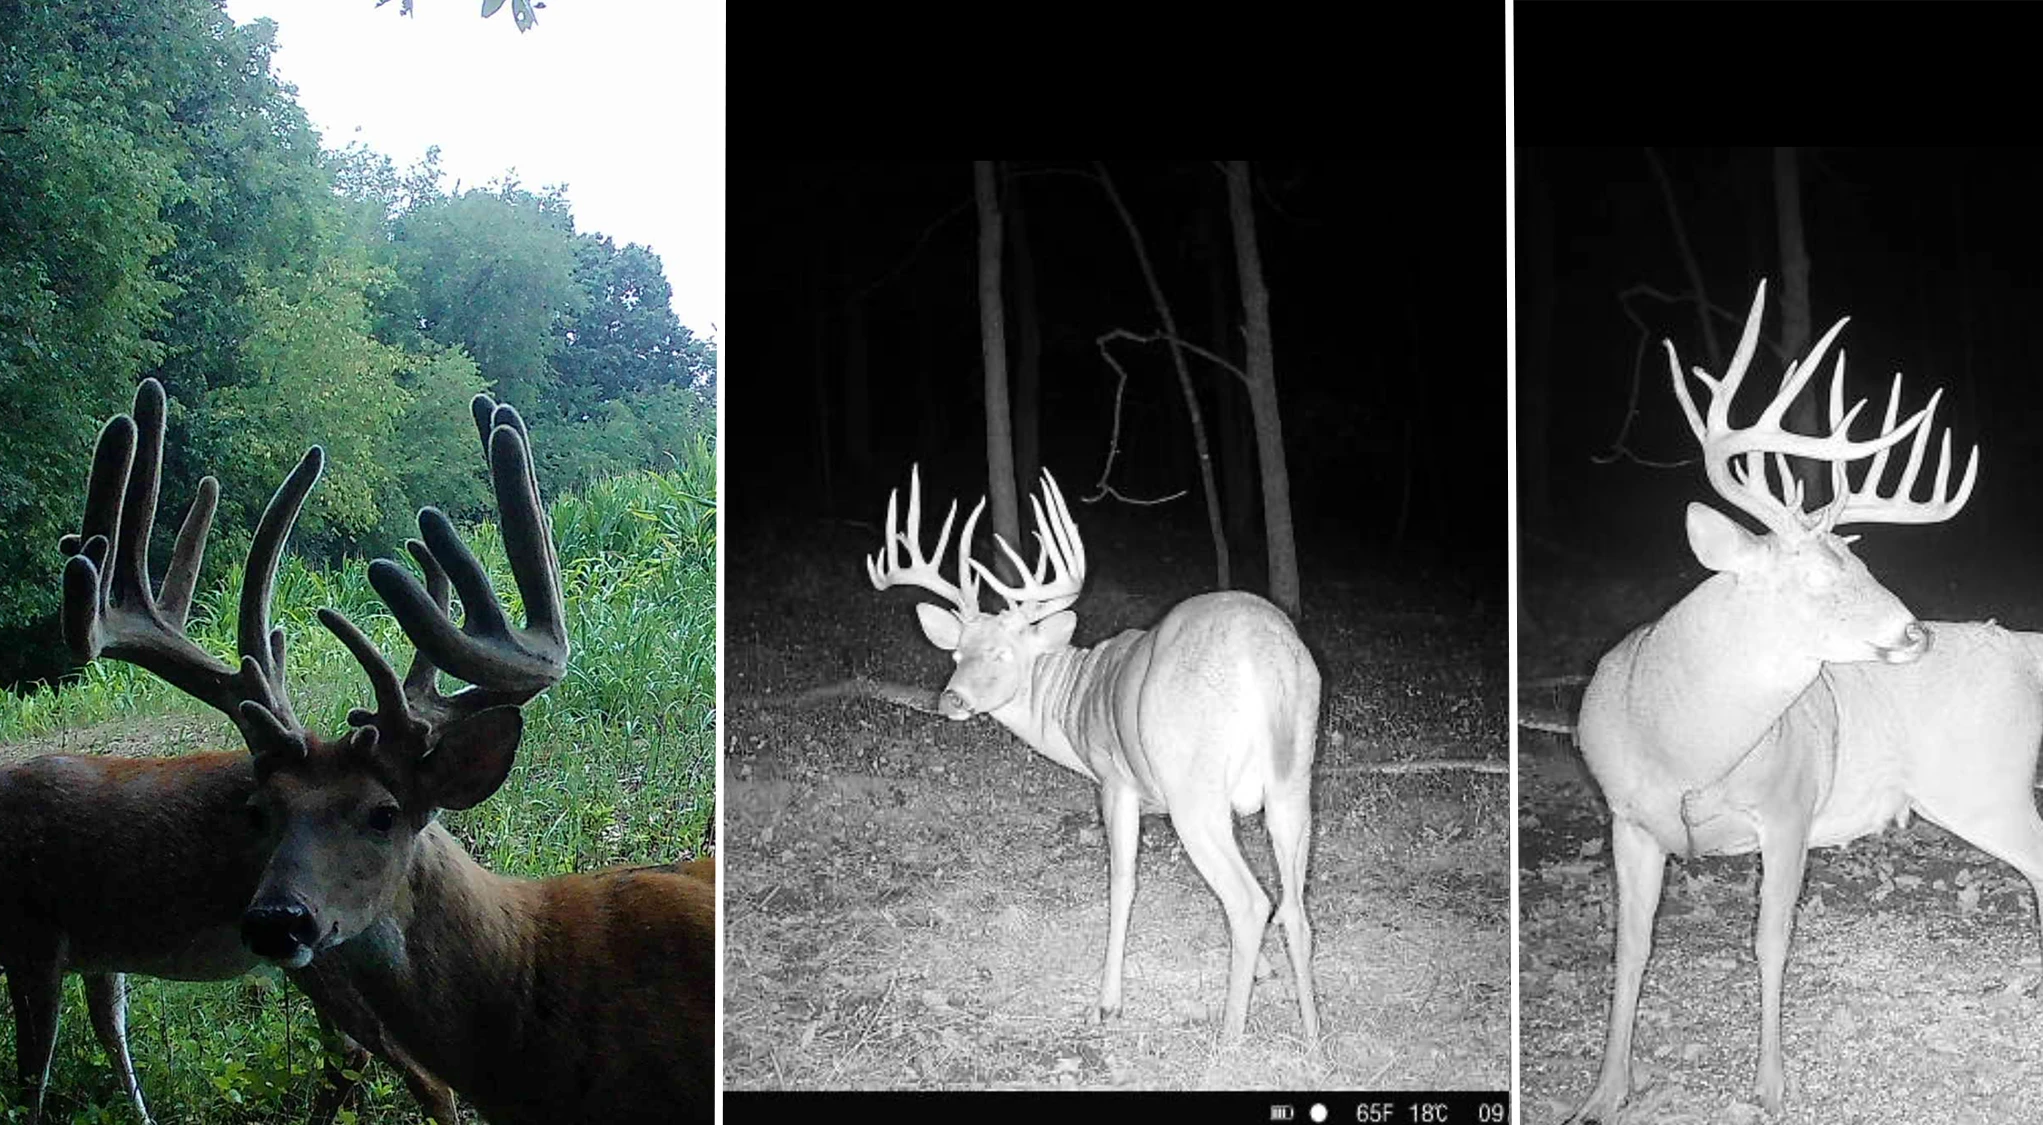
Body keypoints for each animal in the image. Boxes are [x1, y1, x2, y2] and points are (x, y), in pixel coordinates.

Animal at [0, 381, 449, 1125]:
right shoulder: (96, 947)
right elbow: (113, 1035)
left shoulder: (33, 932)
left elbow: (31, 1075)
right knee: (357, 1056)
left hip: (325, 945)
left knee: (399, 1065)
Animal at [866, 469, 1323, 1045]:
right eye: (955, 653)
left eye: (1002, 654)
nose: (952, 700)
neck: (1076, 700)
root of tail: (1263, 656)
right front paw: (1265, 971)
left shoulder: (1116, 782)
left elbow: (1123, 884)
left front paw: (1107, 1003)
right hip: (1292, 777)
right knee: (1293, 907)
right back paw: (1314, 1039)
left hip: (1196, 785)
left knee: (1250, 900)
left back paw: (1228, 1041)